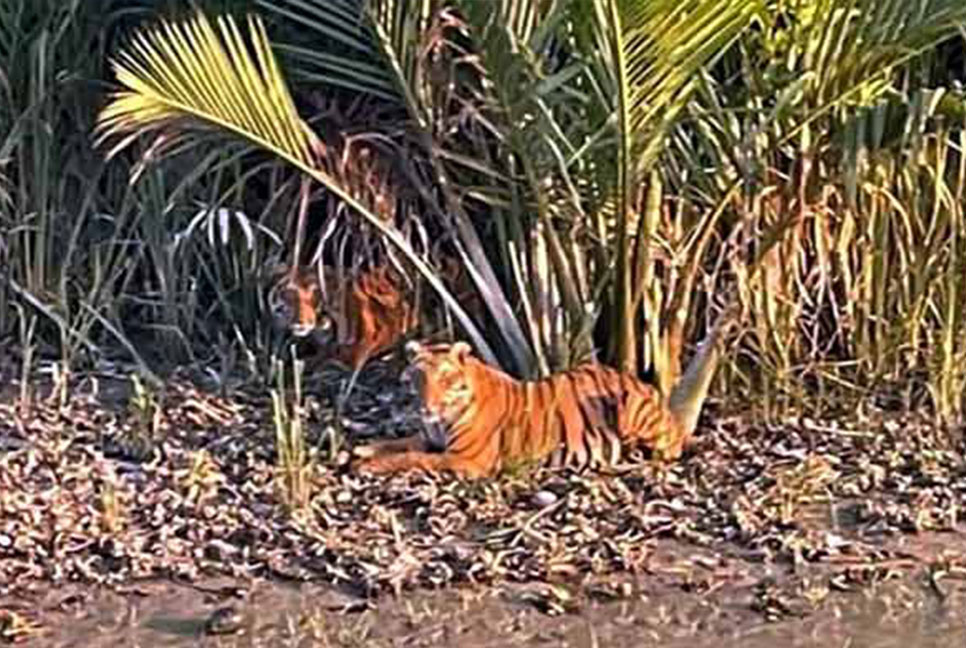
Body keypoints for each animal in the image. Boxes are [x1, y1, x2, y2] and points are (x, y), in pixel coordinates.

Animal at [350, 316, 732, 478]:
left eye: (445, 378)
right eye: (419, 377)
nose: (426, 406)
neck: (442, 420)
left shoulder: (467, 459)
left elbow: (413, 457)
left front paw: (368, 465)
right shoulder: (430, 437)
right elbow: (402, 442)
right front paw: (365, 449)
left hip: (630, 409)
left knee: (669, 450)